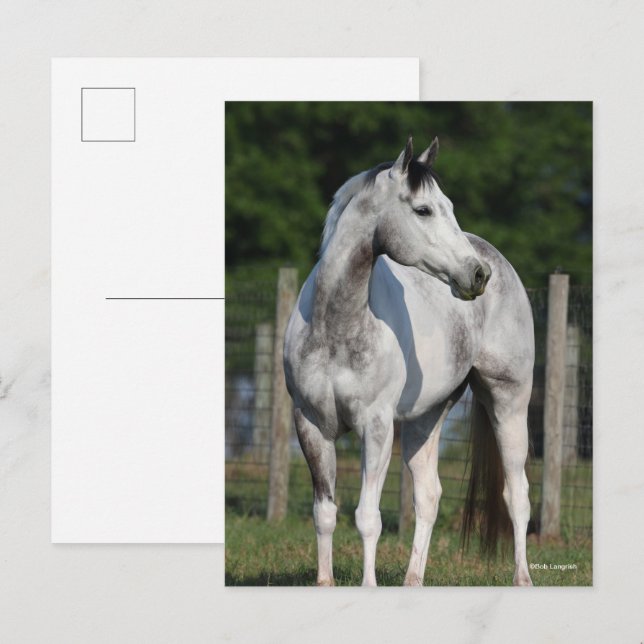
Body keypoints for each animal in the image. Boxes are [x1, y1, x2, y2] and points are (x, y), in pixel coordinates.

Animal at [283, 136, 534, 586]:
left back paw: (522, 580)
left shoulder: (377, 427)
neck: (335, 327)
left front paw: (367, 586)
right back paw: (412, 579)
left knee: (517, 494)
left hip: (509, 403)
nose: (477, 275)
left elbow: (367, 517)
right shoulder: (310, 425)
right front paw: (324, 582)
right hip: (426, 417)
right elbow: (325, 512)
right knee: (429, 495)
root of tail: (498, 260)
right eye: (423, 210)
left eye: (447, 205)